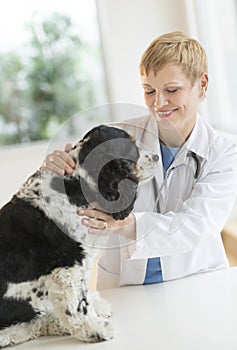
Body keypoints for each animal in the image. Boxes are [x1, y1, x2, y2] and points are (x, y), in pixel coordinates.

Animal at [0, 125, 157, 348]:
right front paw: (95, 330)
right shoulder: (69, 264)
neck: (76, 184)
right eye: (130, 146)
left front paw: (96, 308)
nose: (156, 156)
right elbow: (77, 304)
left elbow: (83, 292)